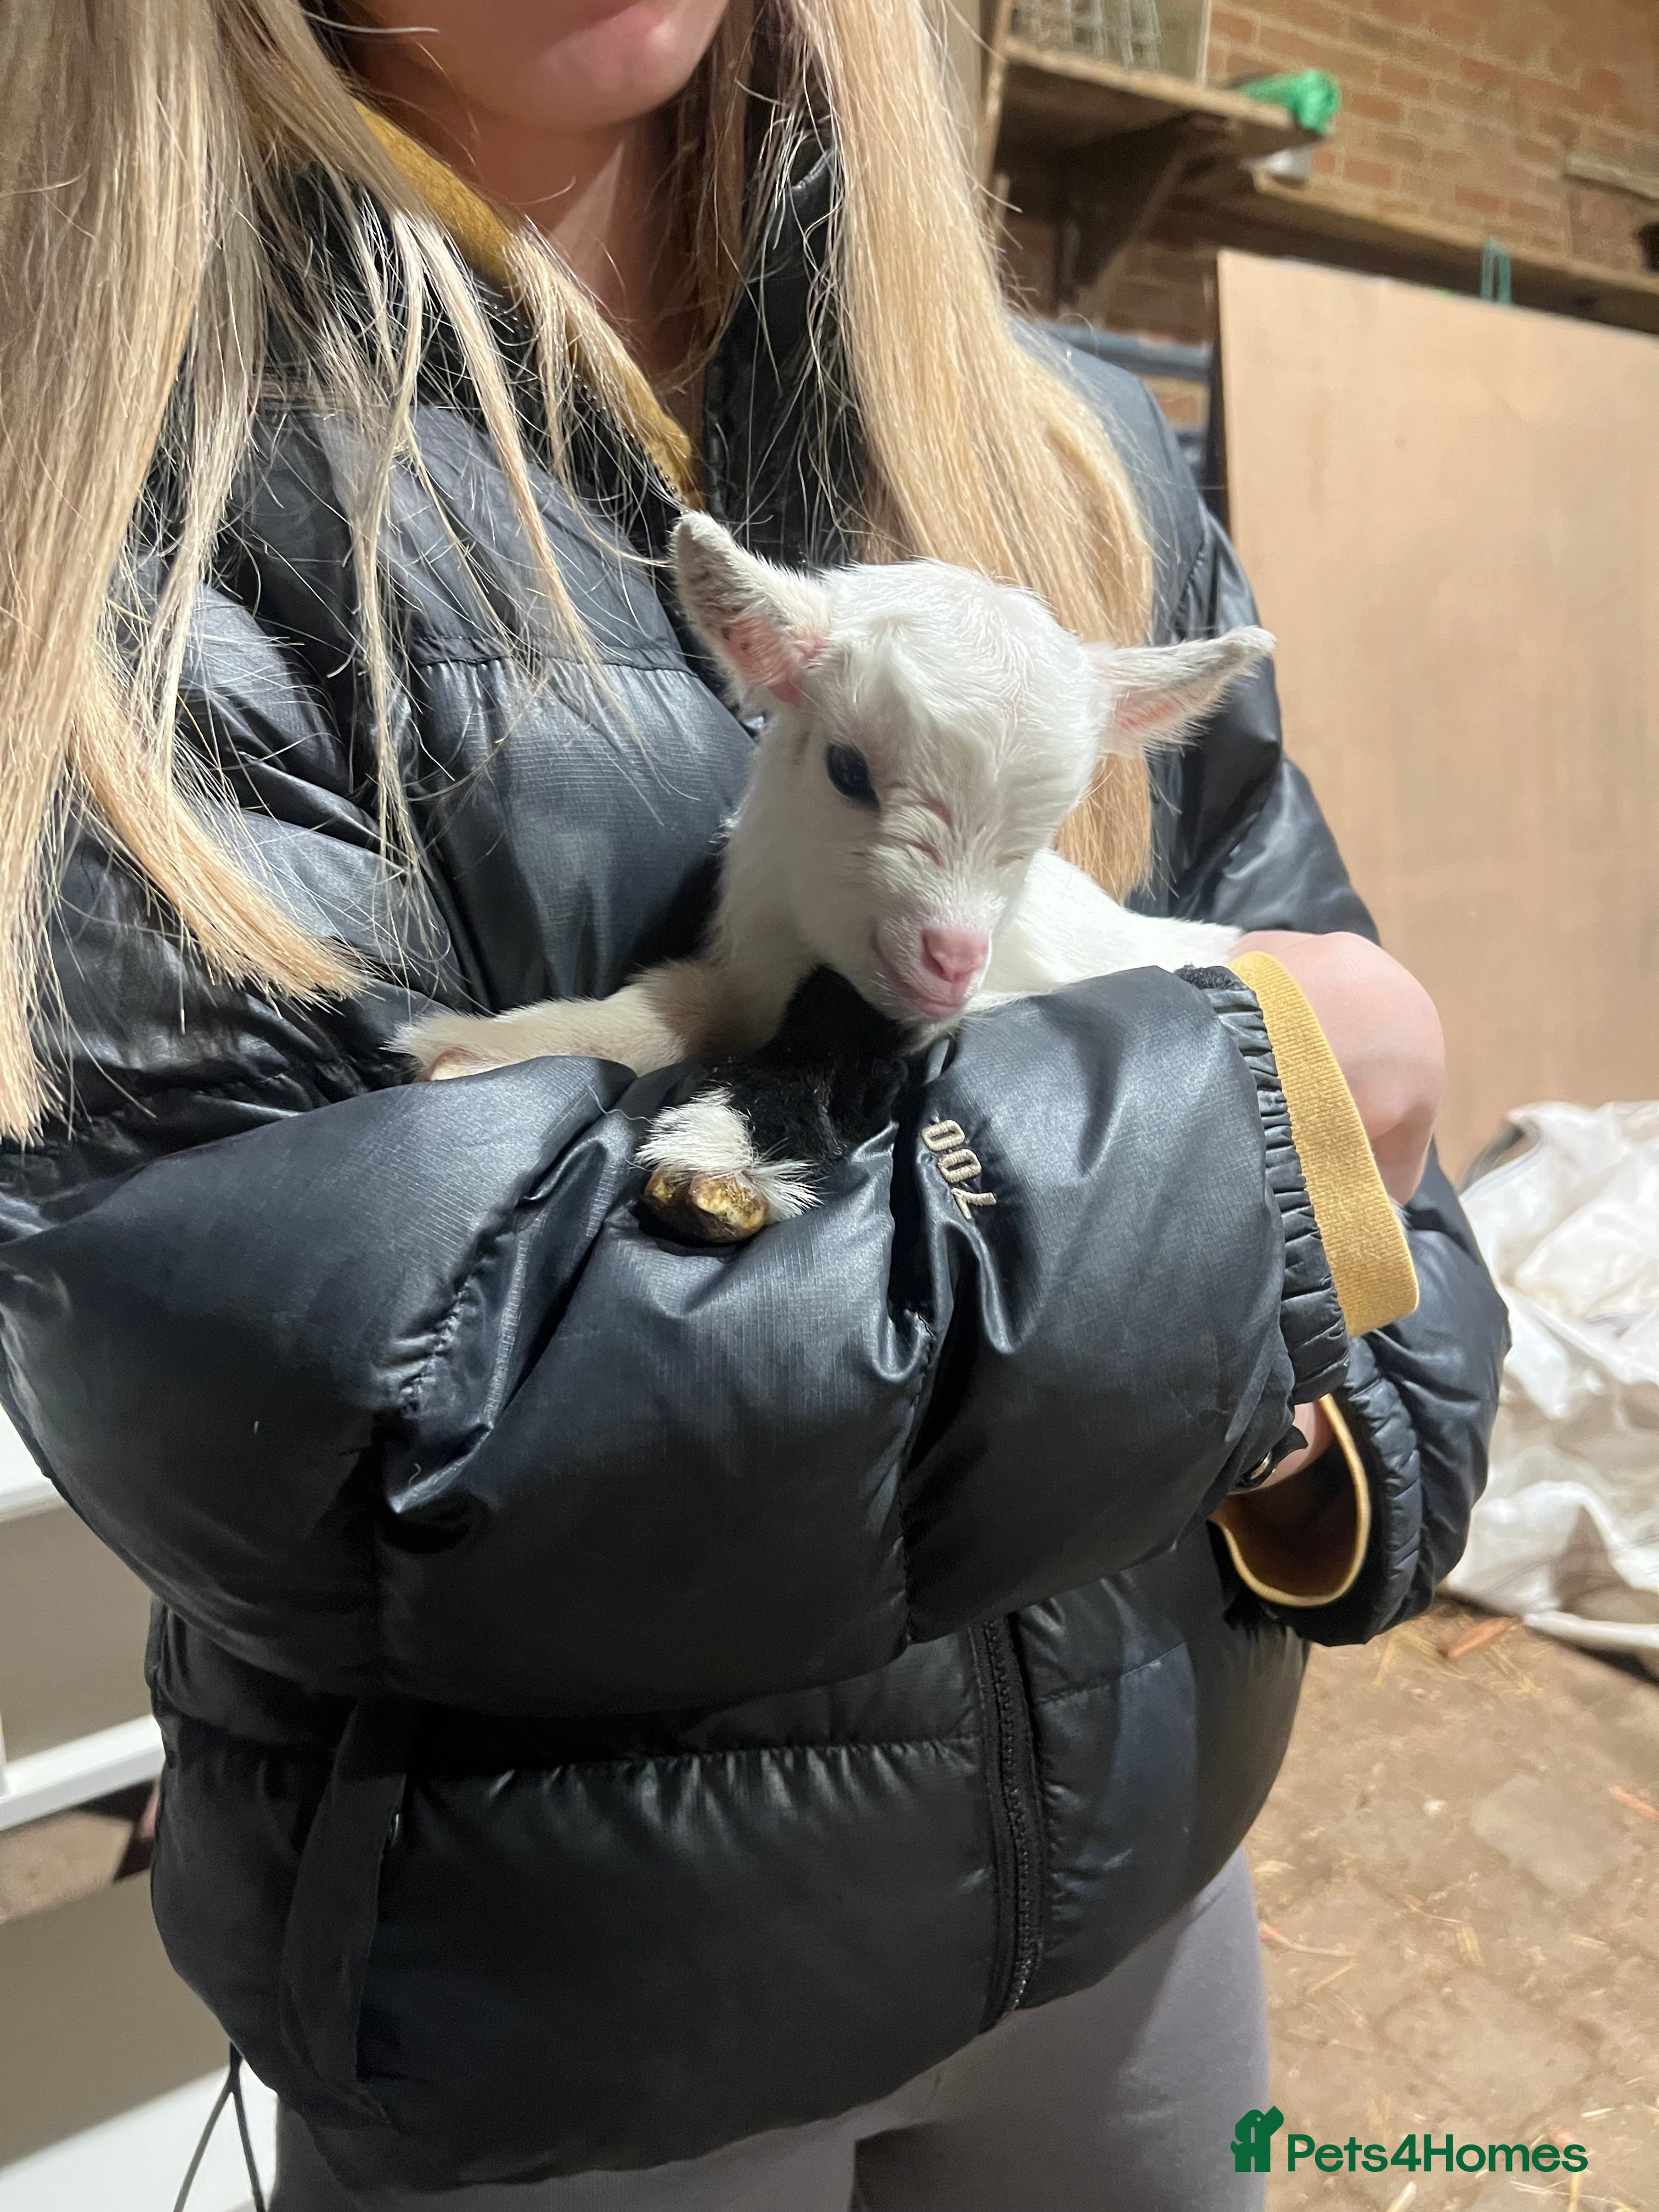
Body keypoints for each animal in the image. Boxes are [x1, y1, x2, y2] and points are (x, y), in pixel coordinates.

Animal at [399, 514, 1271, 1240]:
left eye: (1045, 824)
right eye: (847, 770)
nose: (951, 961)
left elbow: (844, 1026)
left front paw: (724, 1156)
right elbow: (671, 1005)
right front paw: (486, 1051)